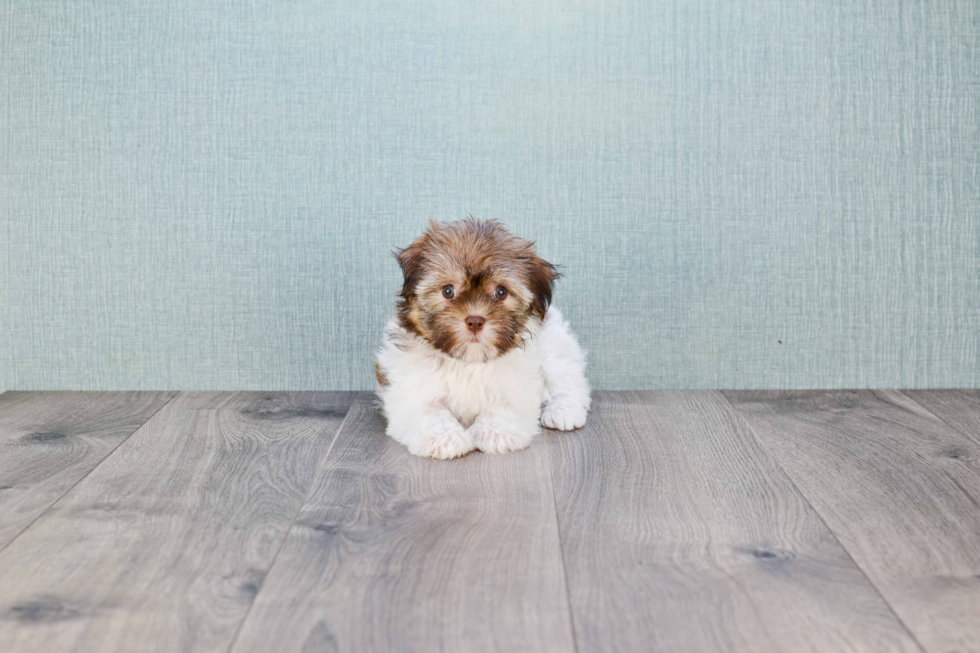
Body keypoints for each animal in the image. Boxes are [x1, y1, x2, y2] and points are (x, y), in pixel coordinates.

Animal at [376, 219, 588, 458]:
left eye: (501, 292)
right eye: (448, 291)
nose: (475, 321)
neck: (469, 362)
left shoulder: (518, 387)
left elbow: (504, 407)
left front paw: (496, 433)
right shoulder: (411, 391)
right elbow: (428, 413)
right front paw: (444, 437)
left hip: (554, 342)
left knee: (568, 380)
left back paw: (563, 411)